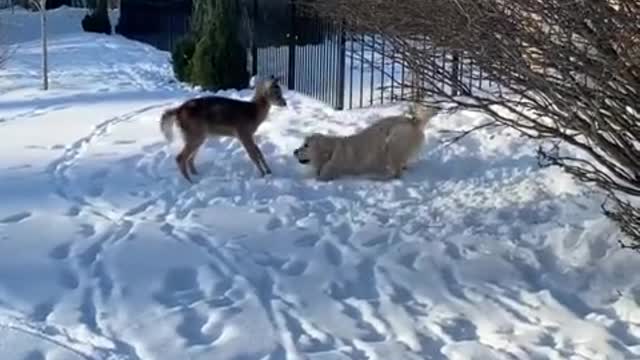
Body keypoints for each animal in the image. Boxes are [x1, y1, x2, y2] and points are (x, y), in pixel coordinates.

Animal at [160, 77, 288, 181]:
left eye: (281, 91)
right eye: (276, 92)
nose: (285, 103)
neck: (253, 113)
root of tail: (178, 110)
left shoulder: (249, 134)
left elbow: (259, 153)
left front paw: (269, 171)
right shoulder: (243, 133)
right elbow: (253, 155)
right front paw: (263, 174)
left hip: (196, 136)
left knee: (189, 158)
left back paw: (197, 176)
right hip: (195, 134)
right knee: (180, 157)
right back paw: (190, 182)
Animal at [294, 103, 440, 181]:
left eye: (306, 145)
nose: (294, 151)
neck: (332, 153)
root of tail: (413, 121)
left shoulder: (328, 174)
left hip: (393, 141)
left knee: (396, 174)